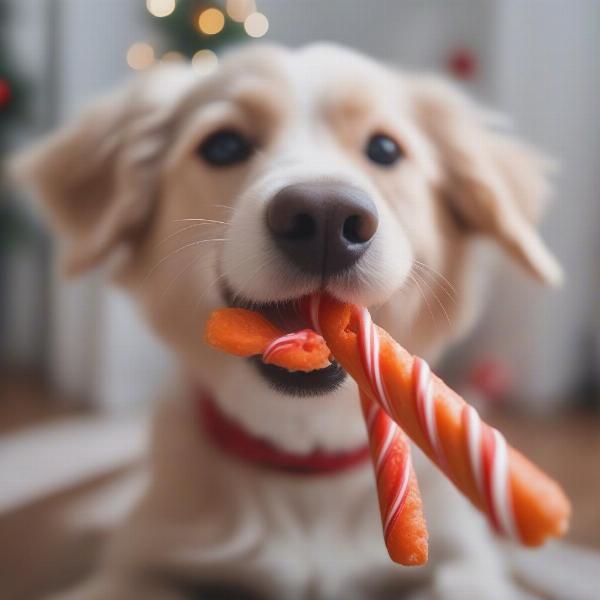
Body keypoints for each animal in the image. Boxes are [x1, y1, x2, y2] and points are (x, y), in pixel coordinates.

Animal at [11, 43, 560, 600]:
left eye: (385, 149)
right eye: (223, 145)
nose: (324, 218)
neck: (305, 468)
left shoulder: (467, 560)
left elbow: (459, 579)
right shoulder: (138, 561)